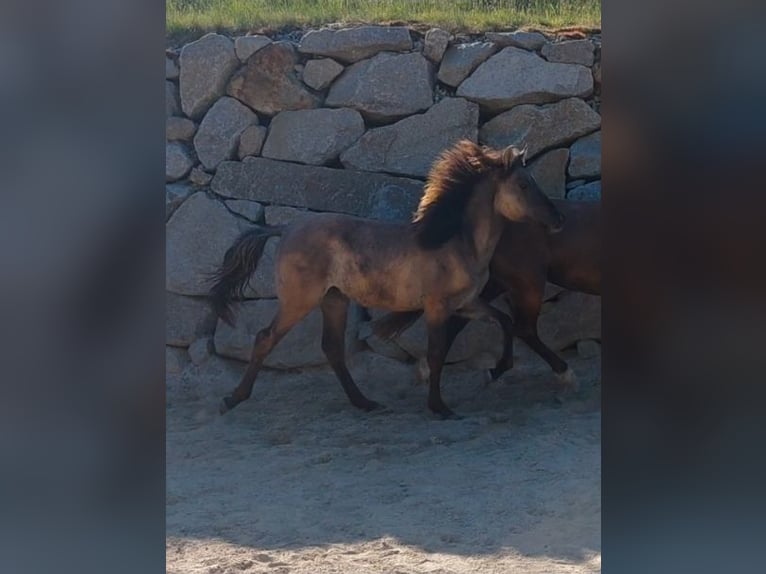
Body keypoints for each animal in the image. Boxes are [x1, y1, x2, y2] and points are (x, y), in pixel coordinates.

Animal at [208, 140, 565, 419]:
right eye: (523, 185)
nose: (557, 218)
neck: (456, 243)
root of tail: (285, 229)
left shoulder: (467, 303)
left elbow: (505, 321)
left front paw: (497, 369)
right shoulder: (437, 307)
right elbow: (436, 353)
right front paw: (440, 407)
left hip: (334, 300)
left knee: (332, 349)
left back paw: (366, 403)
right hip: (299, 301)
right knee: (265, 338)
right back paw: (232, 399)